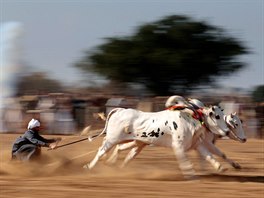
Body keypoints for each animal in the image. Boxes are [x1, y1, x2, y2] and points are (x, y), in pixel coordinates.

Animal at [84, 105, 229, 178]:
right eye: (217, 116)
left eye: (222, 115)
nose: (227, 131)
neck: (191, 119)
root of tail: (119, 110)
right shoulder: (178, 146)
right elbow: (184, 160)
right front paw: (190, 173)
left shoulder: (197, 144)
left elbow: (208, 156)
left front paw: (220, 167)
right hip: (112, 139)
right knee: (101, 151)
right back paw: (89, 167)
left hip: (137, 143)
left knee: (123, 152)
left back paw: (115, 166)